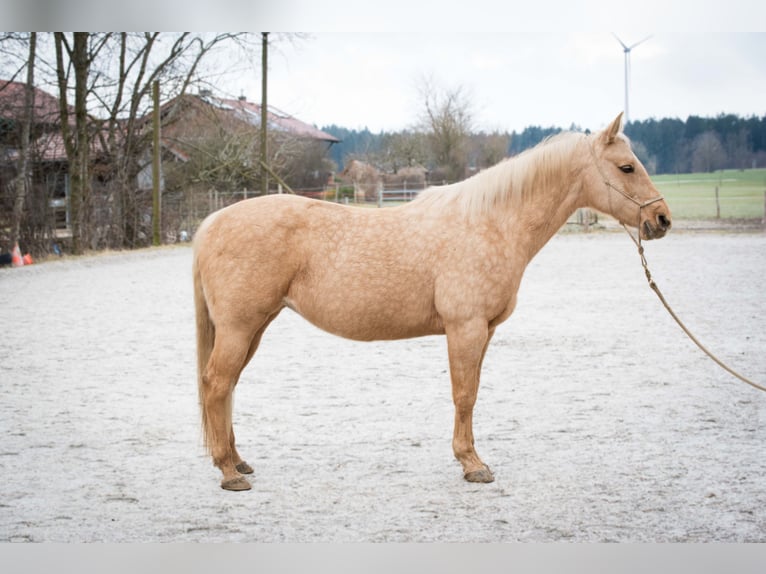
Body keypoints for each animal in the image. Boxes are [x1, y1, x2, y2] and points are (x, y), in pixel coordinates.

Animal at [194, 115, 672, 492]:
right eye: (626, 166)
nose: (662, 219)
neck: (491, 223)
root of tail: (212, 222)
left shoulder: (484, 331)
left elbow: (471, 392)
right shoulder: (466, 327)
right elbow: (464, 394)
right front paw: (472, 465)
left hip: (254, 327)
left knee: (227, 386)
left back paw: (237, 461)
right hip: (240, 327)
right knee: (217, 384)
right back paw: (227, 472)